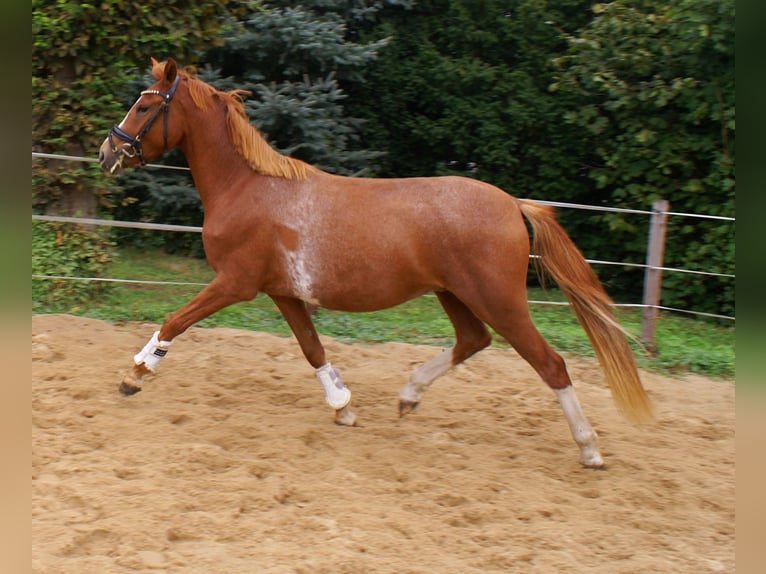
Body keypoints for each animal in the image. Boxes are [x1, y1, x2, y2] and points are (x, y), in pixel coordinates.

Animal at [97, 58, 656, 470]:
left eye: (144, 105)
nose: (107, 152)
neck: (249, 188)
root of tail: (512, 204)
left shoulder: (235, 283)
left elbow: (175, 320)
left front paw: (134, 375)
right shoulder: (282, 291)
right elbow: (312, 349)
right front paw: (343, 408)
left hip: (498, 299)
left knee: (550, 363)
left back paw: (589, 448)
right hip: (454, 294)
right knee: (473, 341)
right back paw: (408, 395)